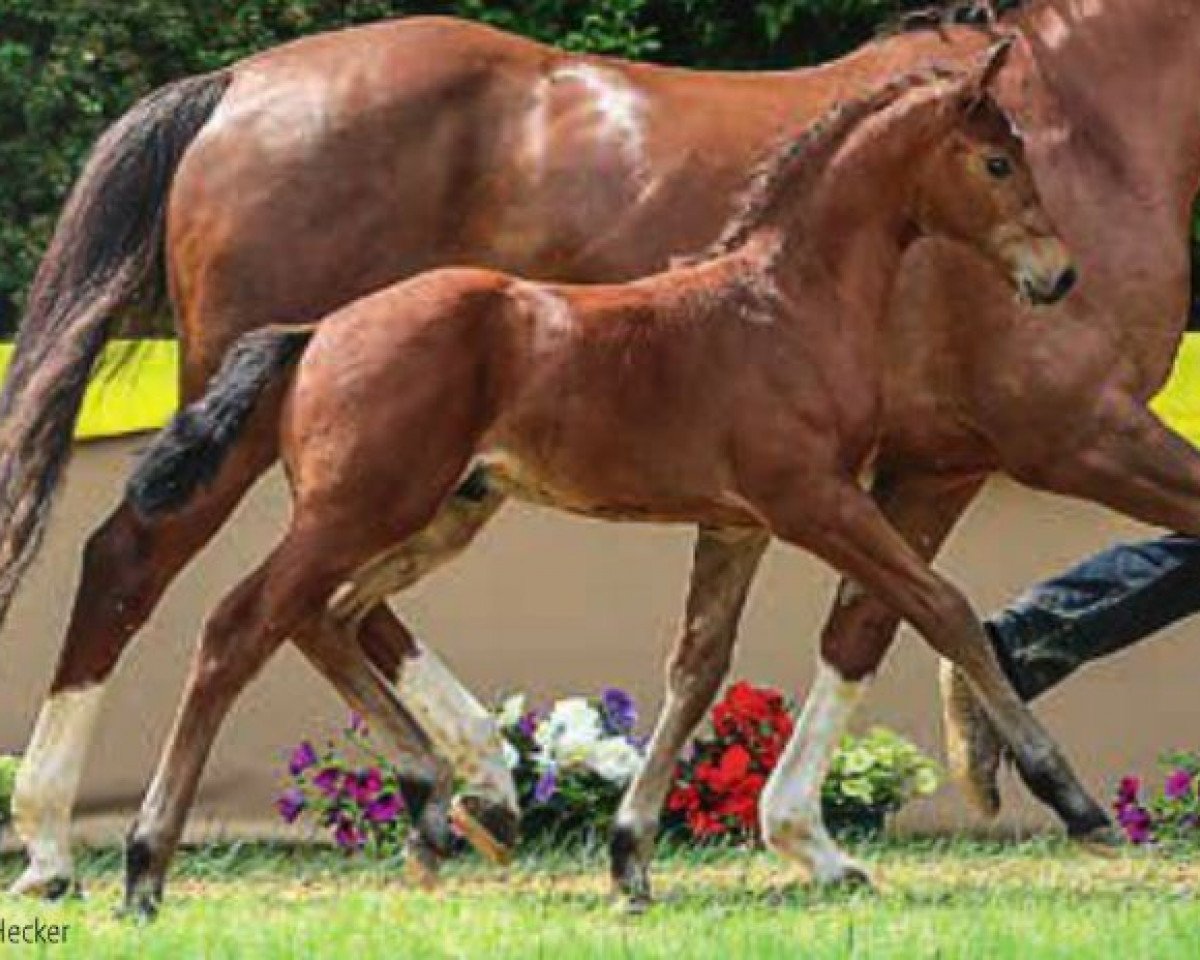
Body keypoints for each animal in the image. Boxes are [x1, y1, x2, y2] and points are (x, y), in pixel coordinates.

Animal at [8, 0, 1200, 903]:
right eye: (999, 160)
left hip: (425, 494)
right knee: (166, 580)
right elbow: (935, 608)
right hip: (310, 462)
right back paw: (84, 850)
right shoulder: (1044, 435)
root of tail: (235, 84)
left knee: (317, 608)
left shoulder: (869, 481)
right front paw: (1053, 790)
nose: (1057, 276)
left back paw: (460, 792)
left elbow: (801, 640)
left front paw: (759, 841)